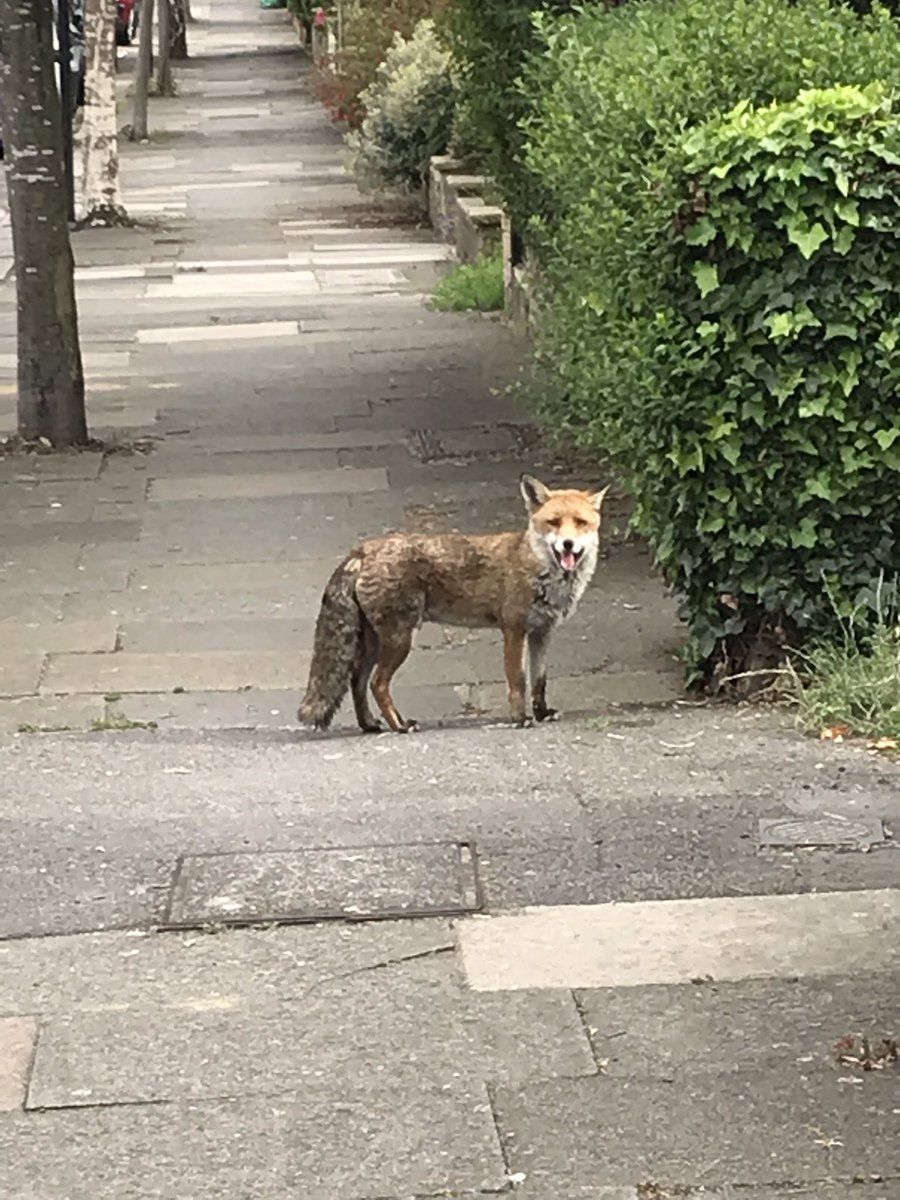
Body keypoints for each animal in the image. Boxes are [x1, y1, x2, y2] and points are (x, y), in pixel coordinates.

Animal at [300, 472, 609, 734]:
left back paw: (369, 724)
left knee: (357, 681)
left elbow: (540, 681)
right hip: (399, 640)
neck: (541, 571)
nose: (568, 544)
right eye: (554, 522)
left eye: (581, 523)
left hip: (375, 643)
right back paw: (399, 725)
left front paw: (542, 713)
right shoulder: (514, 629)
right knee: (378, 684)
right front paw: (520, 719)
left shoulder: (542, 632)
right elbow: (518, 681)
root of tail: (362, 549)